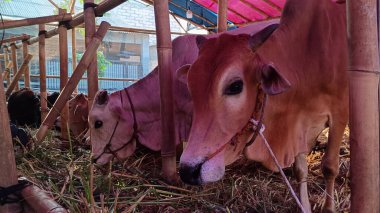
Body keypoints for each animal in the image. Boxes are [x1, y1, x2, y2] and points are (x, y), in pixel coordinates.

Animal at [178, 0, 348, 212]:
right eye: (191, 85)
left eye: (235, 86)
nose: (188, 171)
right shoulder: (300, 123)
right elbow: (300, 170)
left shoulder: (339, 113)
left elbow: (329, 167)